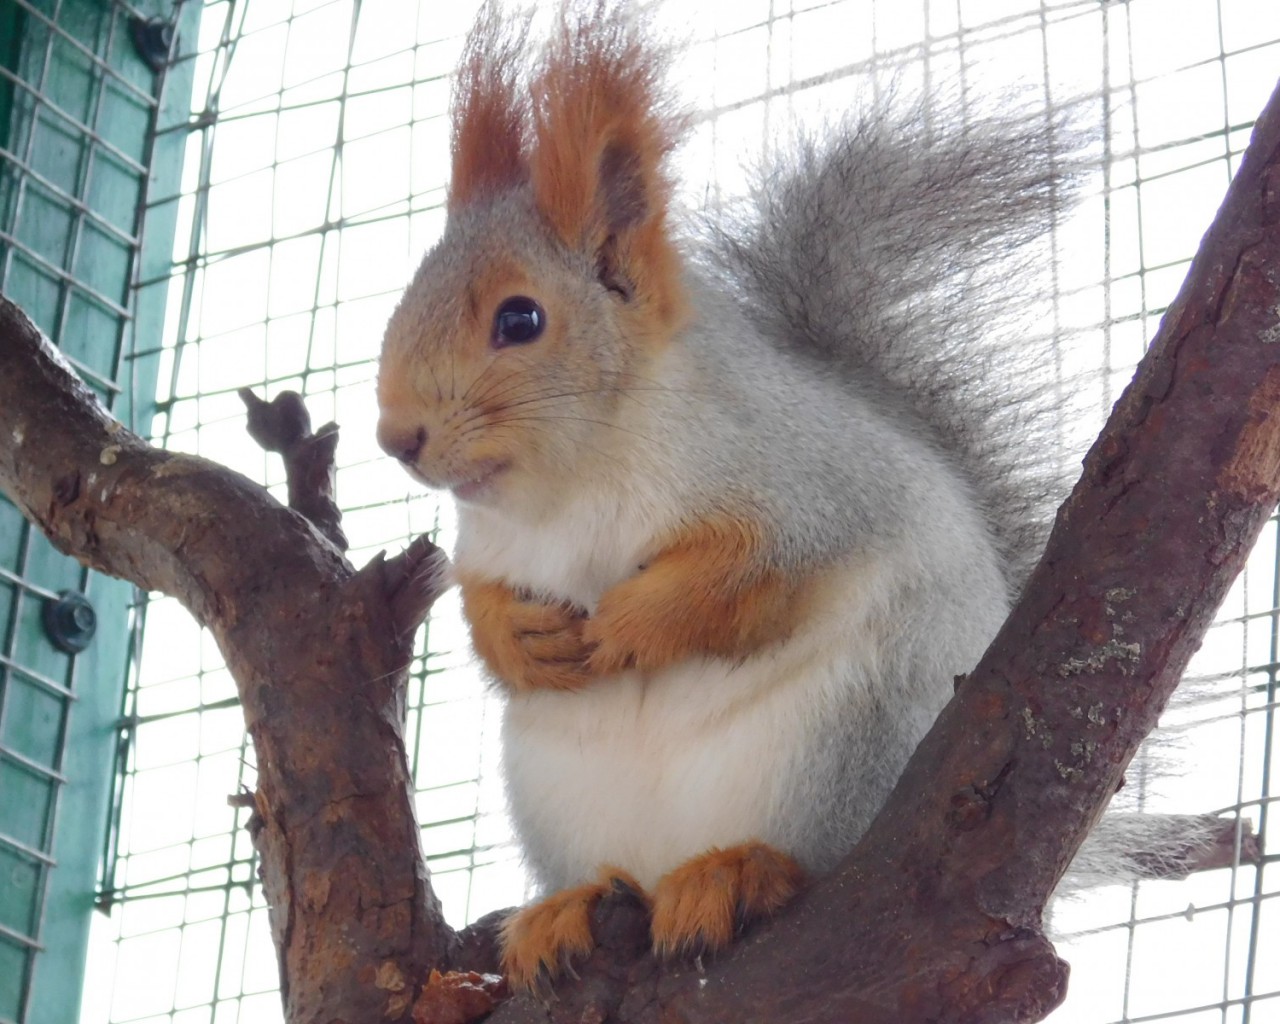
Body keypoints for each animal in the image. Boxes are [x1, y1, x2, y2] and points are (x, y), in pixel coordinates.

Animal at [375, 0, 1155, 992]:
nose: (396, 438)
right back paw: (567, 912)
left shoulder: (811, 483)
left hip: (844, 747)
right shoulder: (491, 544)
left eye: (521, 319)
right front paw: (522, 637)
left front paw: (633, 623)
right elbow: (479, 601)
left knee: (804, 858)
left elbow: (748, 572)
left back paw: (737, 873)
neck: (574, 483)